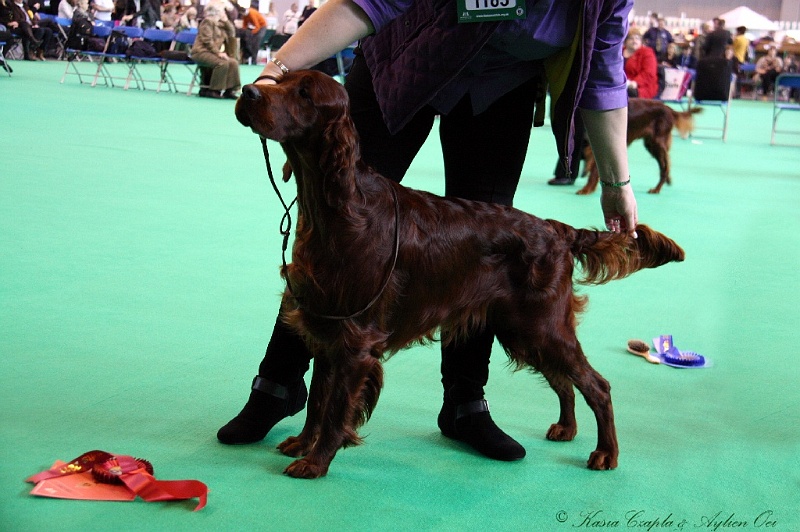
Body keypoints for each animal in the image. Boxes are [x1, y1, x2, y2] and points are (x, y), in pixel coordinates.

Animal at [234, 69, 684, 478]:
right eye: (279, 80)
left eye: (306, 93)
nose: (248, 91)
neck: (339, 208)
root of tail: (555, 229)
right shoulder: (326, 327)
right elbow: (318, 400)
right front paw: (302, 444)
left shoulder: (355, 340)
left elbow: (334, 410)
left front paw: (316, 462)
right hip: (522, 329)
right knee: (564, 381)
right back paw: (565, 428)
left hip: (543, 325)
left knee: (597, 386)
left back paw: (606, 453)